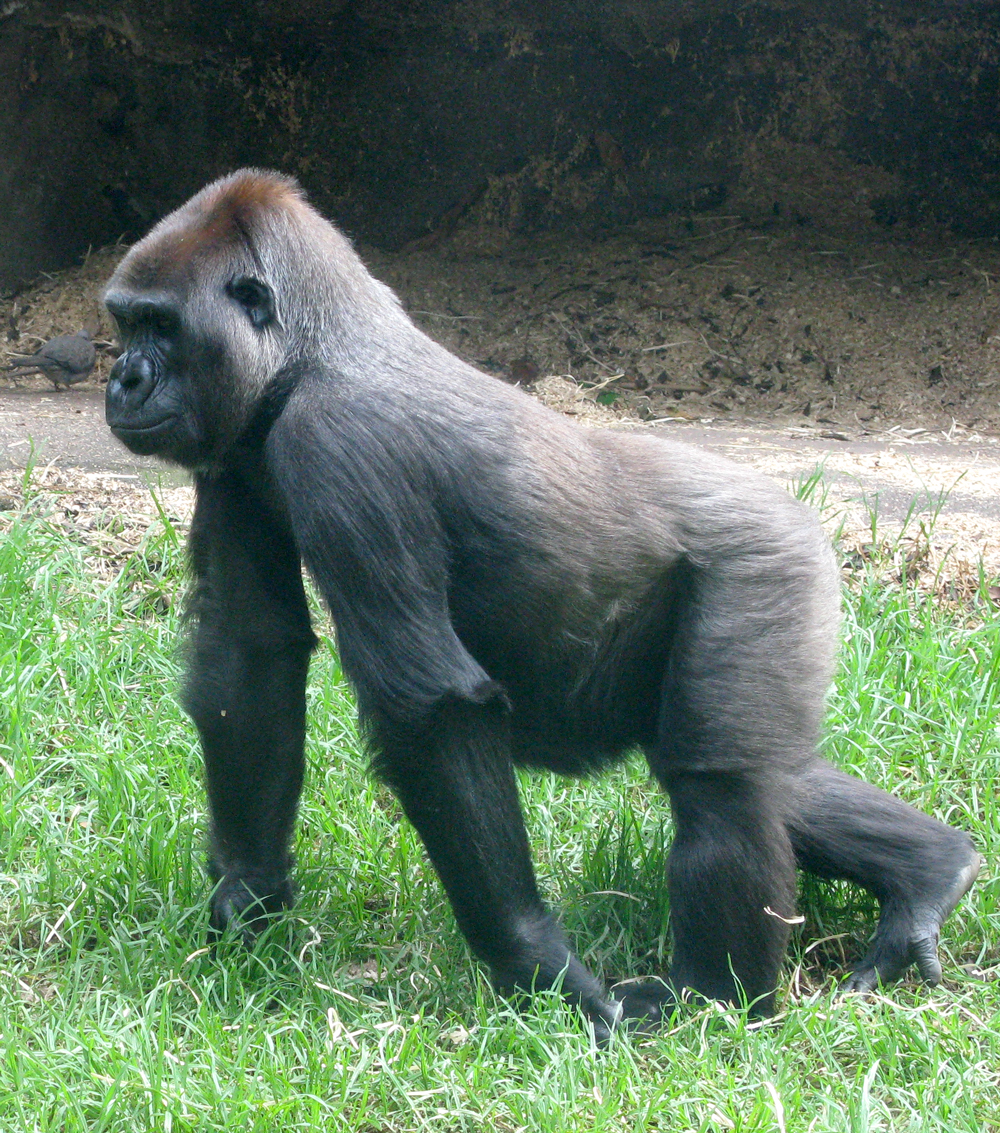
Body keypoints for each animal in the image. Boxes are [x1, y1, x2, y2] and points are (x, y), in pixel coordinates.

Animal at [103, 170, 979, 1041]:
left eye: (161, 325)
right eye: (125, 322)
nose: (122, 381)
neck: (314, 351)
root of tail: (803, 515)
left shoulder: (343, 444)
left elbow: (432, 712)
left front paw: (537, 965)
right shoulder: (232, 449)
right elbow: (251, 655)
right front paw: (248, 895)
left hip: (767, 565)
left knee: (721, 786)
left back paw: (714, 1002)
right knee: (770, 773)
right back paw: (933, 872)